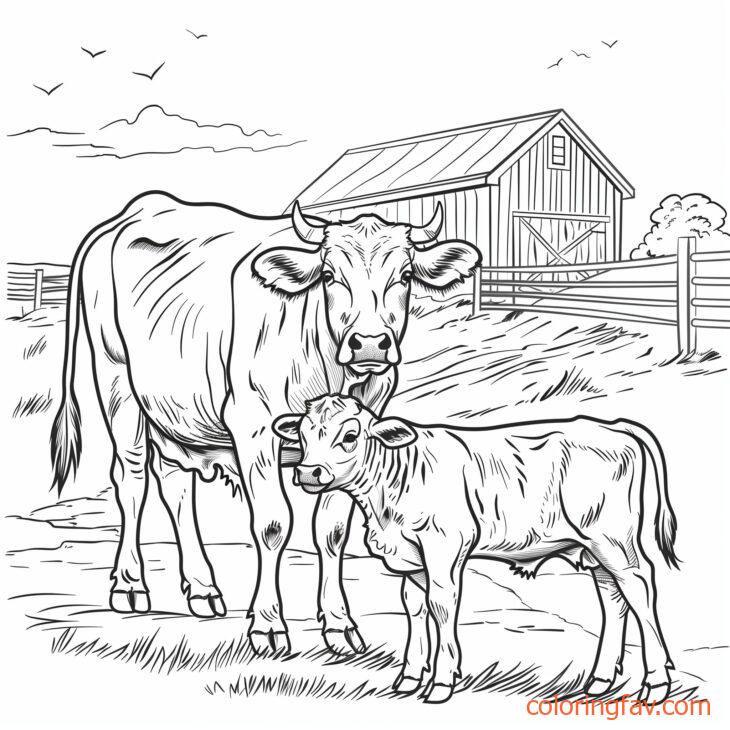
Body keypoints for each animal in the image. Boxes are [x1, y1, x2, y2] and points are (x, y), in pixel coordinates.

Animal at [48, 188, 474, 656]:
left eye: (404, 275)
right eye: (330, 276)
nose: (369, 344)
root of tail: (138, 208)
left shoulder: (357, 437)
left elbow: (332, 531)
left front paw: (339, 624)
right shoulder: (254, 428)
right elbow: (272, 524)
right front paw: (268, 625)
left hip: (173, 411)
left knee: (176, 487)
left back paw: (202, 588)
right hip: (117, 380)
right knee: (131, 480)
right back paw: (129, 585)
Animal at [272, 396, 676, 704]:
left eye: (350, 435)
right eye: (304, 435)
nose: (307, 472)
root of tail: (613, 425)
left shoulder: (444, 546)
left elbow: (441, 604)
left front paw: (441, 682)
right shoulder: (412, 559)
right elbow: (414, 607)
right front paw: (409, 677)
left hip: (613, 540)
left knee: (639, 589)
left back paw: (656, 683)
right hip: (593, 548)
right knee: (612, 598)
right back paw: (600, 680)